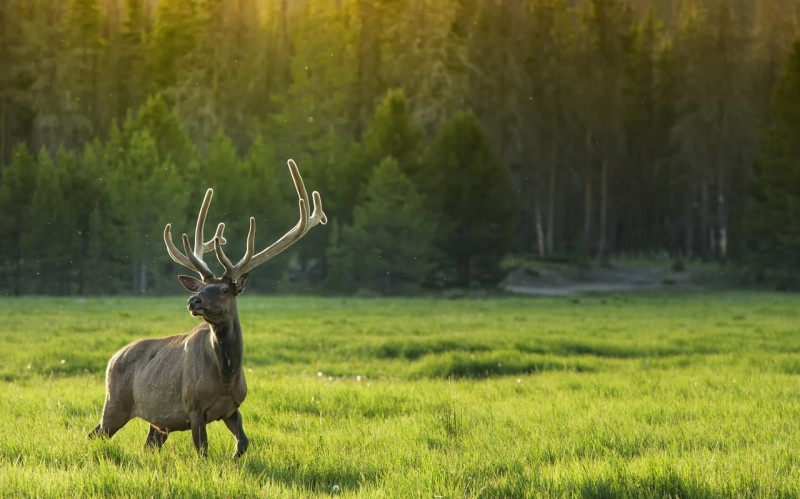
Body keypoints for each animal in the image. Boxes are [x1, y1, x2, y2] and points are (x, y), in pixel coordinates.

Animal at [87, 161, 324, 460]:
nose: (193, 301)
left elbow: (243, 443)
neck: (225, 377)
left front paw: (234, 459)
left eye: (224, 289)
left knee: (147, 444)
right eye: (199, 287)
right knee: (93, 434)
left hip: (157, 423)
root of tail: (112, 358)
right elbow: (203, 451)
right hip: (114, 404)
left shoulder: (232, 408)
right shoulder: (193, 407)